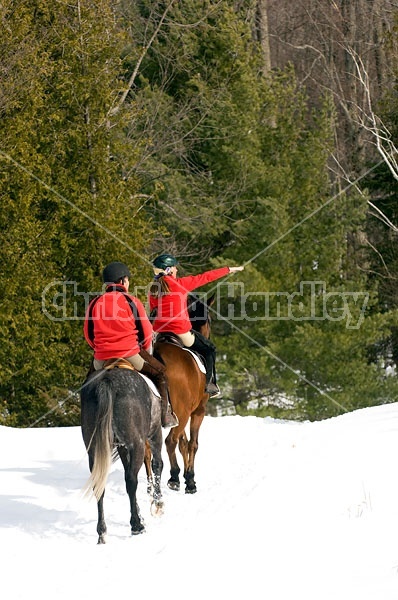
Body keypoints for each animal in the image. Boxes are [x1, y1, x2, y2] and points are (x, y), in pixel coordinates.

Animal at [81, 366, 163, 544]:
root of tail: (106, 382)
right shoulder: (154, 434)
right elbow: (157, 465)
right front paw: (158, 503)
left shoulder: (122, 448)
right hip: (137, 444)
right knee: (131, 480)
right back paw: (136, 525)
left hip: (94, 450)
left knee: (99, 485)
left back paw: (102, 532)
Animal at [146, 292, 215, 494]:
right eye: (209, 320)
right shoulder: (197, 411)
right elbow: (192, 444)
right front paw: (190, 479)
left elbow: (183, 443)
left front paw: (187, 477)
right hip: (184, 413)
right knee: (170, 441)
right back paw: (174, 477)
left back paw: (151, 484)